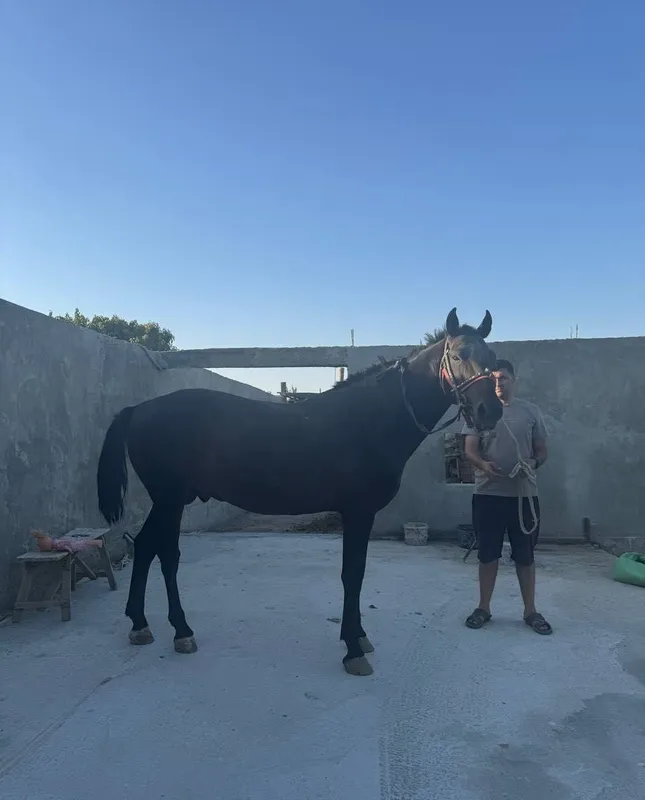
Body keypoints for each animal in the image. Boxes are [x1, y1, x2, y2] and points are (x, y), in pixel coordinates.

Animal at [96, 307, 502, 676]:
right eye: (457, 355)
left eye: (492, 358)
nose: (491, 411)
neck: (371, 419)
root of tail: (139, 409)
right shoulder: (357, 513)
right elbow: (352, 575)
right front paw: (353, 649)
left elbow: (357, 574)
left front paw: (359, 636)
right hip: (169, 499)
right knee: (161, 552)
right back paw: (177, 629)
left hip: (172, 501)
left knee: (150, 548)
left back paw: (145, 625)